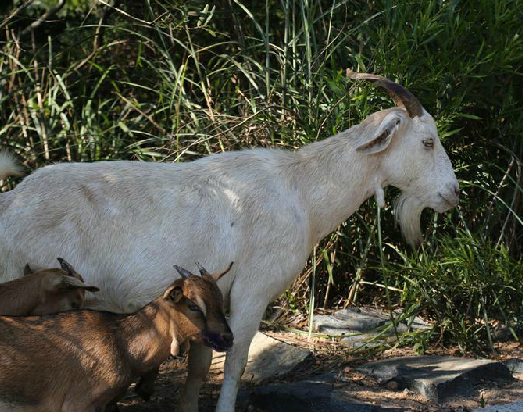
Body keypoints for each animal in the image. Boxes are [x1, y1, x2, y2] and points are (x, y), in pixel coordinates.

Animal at [0, 72, 458, 410]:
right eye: (428, 141)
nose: (452, 194)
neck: (299, 191)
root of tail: (10, 202)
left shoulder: (213, 295)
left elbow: (200, 366)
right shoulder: (254, 288)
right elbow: (235, 362)